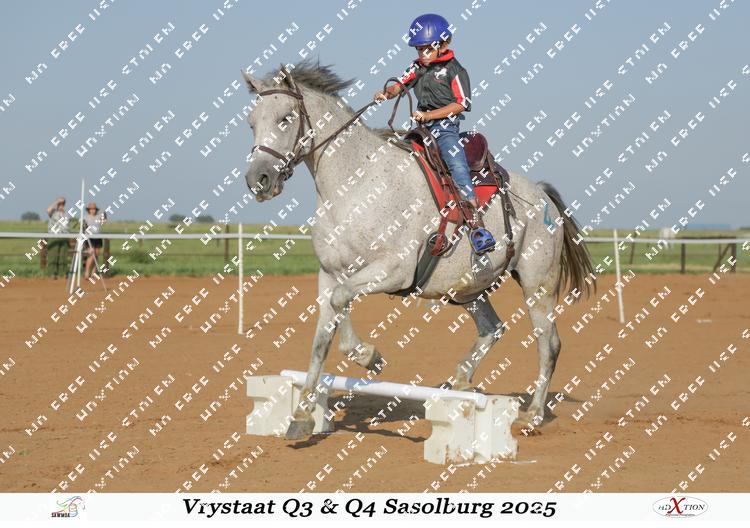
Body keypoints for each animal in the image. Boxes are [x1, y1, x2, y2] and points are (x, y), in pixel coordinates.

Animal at [241, 60, 594, 440]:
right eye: (252, 122)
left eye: (286, 118)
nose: (258, 180)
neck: (356, 183)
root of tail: (543, 196)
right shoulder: (329, 273)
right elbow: (324, 333)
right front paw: (303, 415)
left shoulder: (393, 271)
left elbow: (340, 302)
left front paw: (368, 355)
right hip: (467, 289)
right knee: (493, 328)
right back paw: (460, 383)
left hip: (537, 285)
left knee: (549, 343)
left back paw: (532, 415)